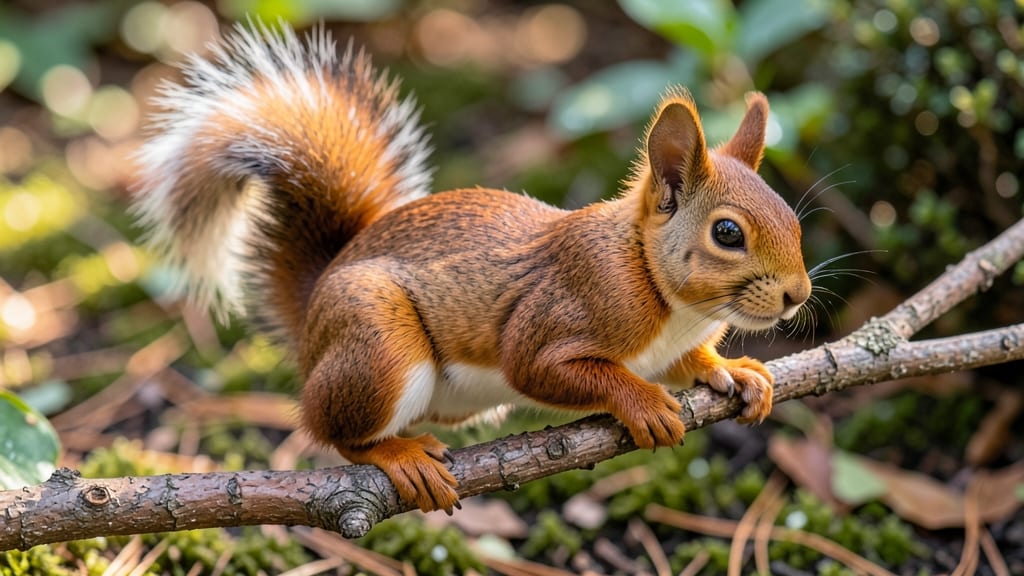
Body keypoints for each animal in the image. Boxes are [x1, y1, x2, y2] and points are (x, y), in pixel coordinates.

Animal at [132, 22, 811, 513]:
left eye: (795, 220)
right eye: (727, 233)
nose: (798, 295)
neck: (663, 293)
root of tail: (315, 310)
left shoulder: (671, 345)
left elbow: (689, 363)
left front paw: (735, 370)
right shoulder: (560, 313)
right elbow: (542, 366)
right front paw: (642, 402)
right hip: (379, 344)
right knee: (333, 430)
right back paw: (400, 456)